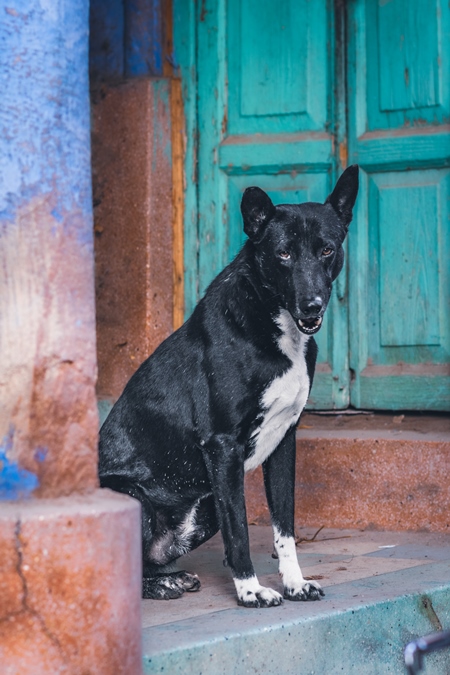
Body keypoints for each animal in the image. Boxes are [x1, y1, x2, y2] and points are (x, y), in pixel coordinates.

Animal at [98, 164, 358, 608]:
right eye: (283, 254)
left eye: (326, 250)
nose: (312, 305)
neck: (274, 324)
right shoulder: (222, 447)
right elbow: (240, 530)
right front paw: (251, 589)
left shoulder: (285, 441)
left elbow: (284, 525)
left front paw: (294, 583)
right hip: (132, 496)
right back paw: (162, 585)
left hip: (203, 508)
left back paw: (170, 577)